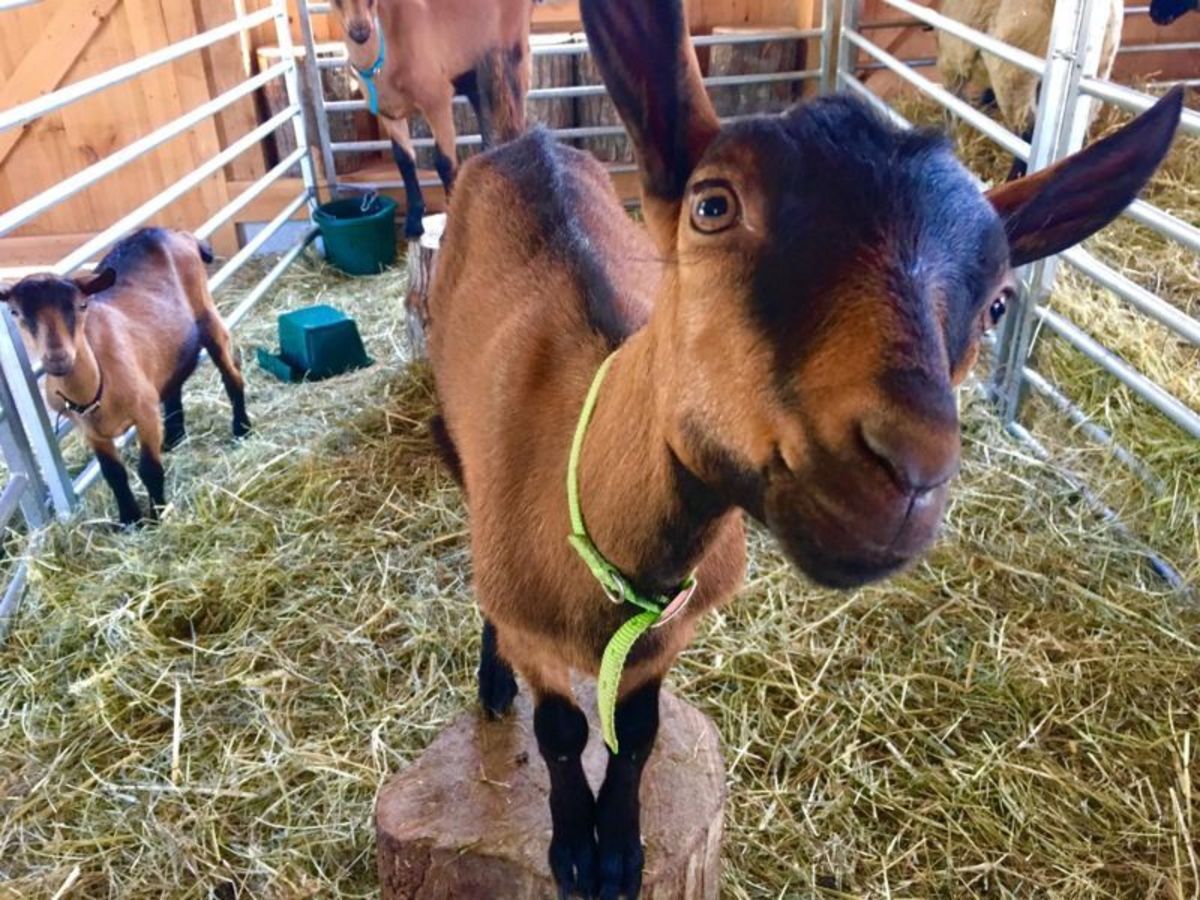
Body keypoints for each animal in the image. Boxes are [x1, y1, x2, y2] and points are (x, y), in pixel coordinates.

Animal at [0, 228, 250, 526]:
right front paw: (129, 518)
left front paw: (156, 515)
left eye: (81, 305)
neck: (98, 385)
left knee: (232, 374)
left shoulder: (146, 414)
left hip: (207, 314)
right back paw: (175, 435)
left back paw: (242, 428)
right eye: (15, 312)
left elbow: (149, 469)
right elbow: (114, 476)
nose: (57, 358)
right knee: (175, 378)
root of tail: (176, 234)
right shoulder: (91, 432)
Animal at [330, 0, 535, 239]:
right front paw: (413, 223)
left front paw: (448, 231)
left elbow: (445, 163)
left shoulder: (437, 100)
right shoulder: (388, 113)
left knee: (515, 127)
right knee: (490, 137)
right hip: (476, 77)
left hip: (511, 63)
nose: (360, 32)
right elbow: (404, 160)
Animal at [937, 0, 1124, 178]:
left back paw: (1015, 177)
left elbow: (952, 105)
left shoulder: (952, 61)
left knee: (1027, 133)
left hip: (1015, 73)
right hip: (1099, 71)